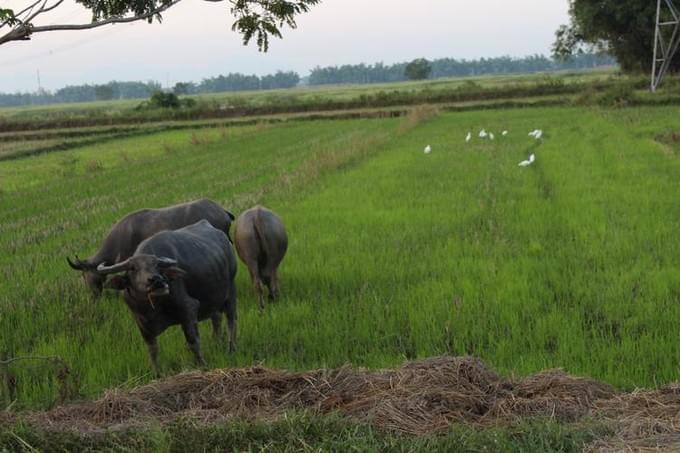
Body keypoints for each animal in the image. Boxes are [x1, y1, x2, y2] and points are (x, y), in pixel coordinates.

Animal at [95, 218, 238, 370]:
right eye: (133, 268)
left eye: (157, 265)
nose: (157, 280)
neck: (152, 308)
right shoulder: (142, 324)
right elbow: (152, 350)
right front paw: (155, 371)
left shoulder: (189, 309)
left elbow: (193, 341)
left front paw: (201, 364)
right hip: (212, 297)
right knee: (216, 318)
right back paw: (216, 342)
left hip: (230, 290)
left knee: (231, 320)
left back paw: (231, 348)